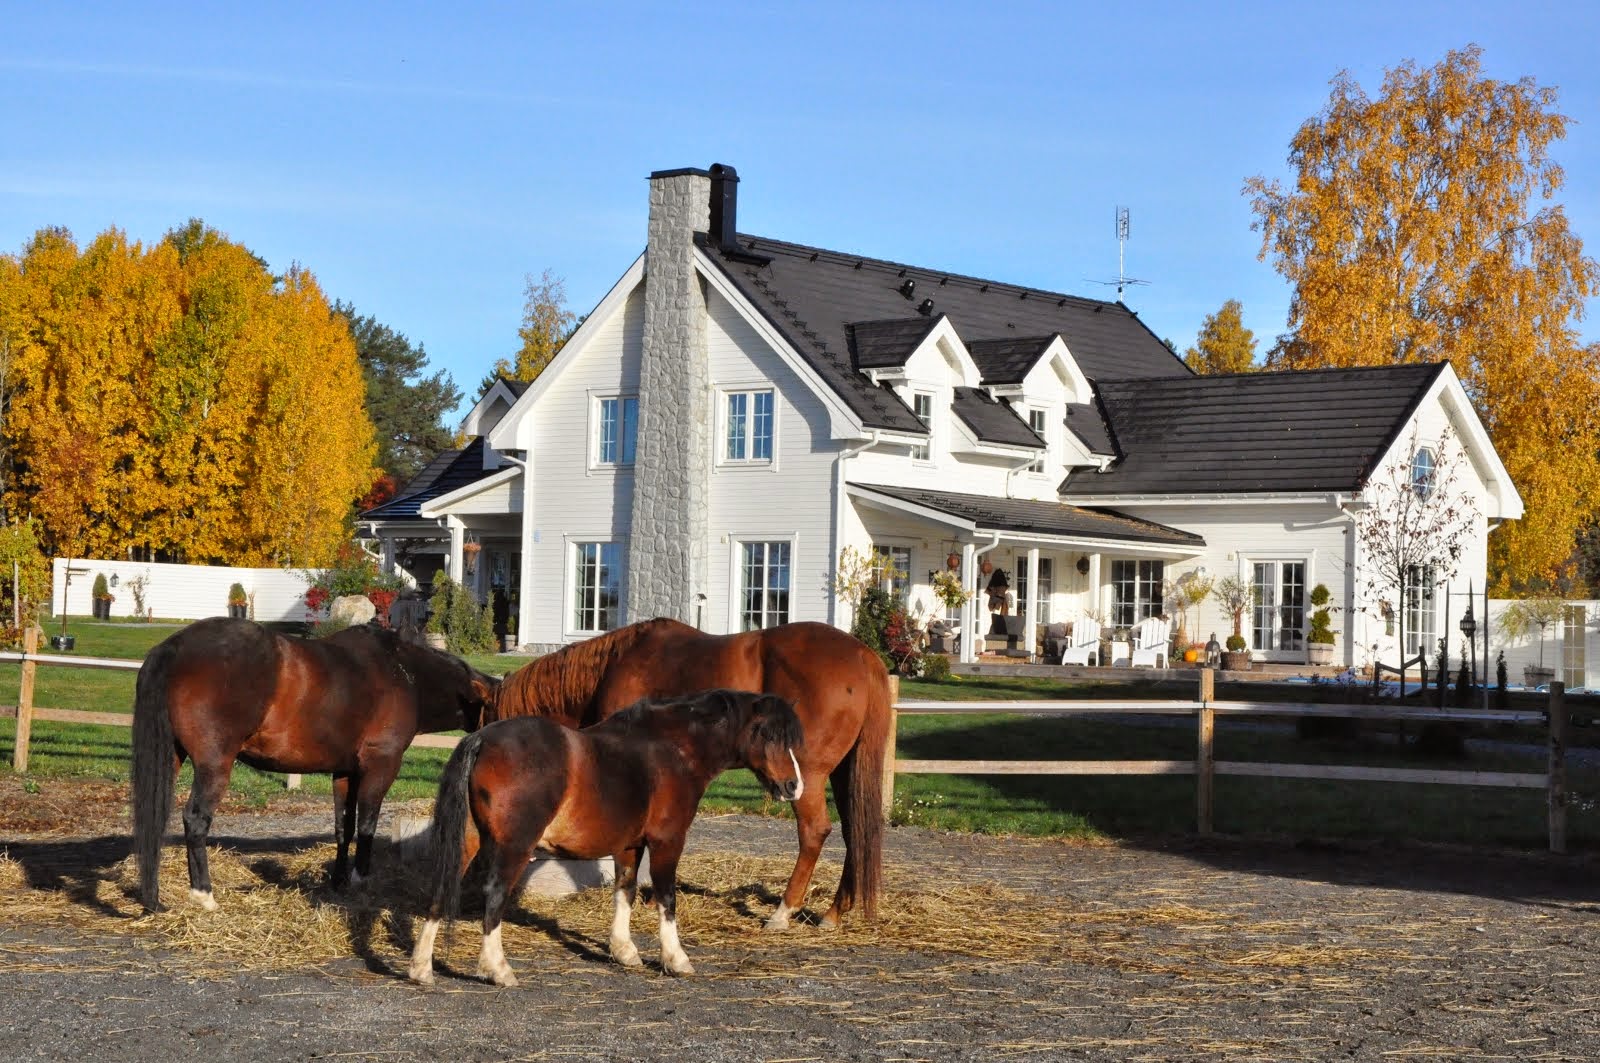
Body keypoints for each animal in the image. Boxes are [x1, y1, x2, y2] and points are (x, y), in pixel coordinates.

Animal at [132, 614, 499, 915]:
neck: (404, 673)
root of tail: (175, 646)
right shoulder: (380, 766)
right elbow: (367, 825)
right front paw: (361, 881)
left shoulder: (345, 772)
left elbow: (343, 827)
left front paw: (339, 882)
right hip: (214, 765)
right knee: (195, 820)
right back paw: (203, 895)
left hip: (172, 757)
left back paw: (153, 898)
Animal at [406, 685, 806, 986]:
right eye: (768, 733)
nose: (793, 786)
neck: (673, 749)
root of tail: (482, 739)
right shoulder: (667, 841)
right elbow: (666, 898)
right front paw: (676, 959)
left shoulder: (628, 846)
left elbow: (624, 892)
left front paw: (623, 951)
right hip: (515, 847)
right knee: (495, 894)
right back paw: (497, 969)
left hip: (468, 840)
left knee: (441, 887)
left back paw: (421, 968)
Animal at [492, 617, 896, 928]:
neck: (617, 665)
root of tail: (864, 656)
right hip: (842, 774)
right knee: (854, 832)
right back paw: (834, 912)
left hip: (804, 777)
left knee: (815, 831)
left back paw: (783, 912)